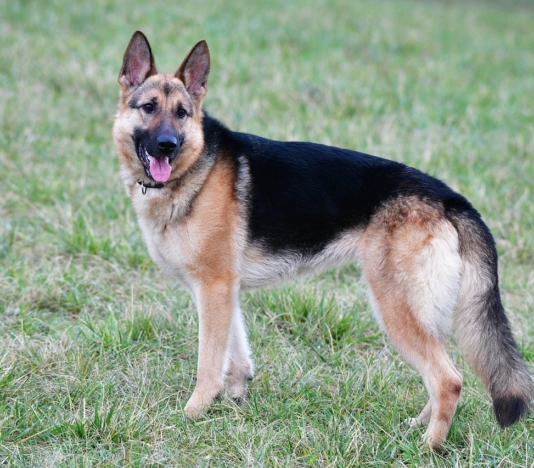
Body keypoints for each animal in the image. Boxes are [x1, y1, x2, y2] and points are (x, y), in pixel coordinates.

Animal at [113, 31, 532, 448]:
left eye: (182, 113)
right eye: (149, 107)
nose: (167, 145)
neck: (196, 168)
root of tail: (448, 197)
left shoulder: (214, 287)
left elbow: (209, 361)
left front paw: (194, 412)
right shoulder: (223, 290)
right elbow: (236, 350)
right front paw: (233, 397)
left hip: (395, 308)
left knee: (448, 380)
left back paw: (427, 446)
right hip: (422, 313)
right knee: (443, 375)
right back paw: (417, 426)